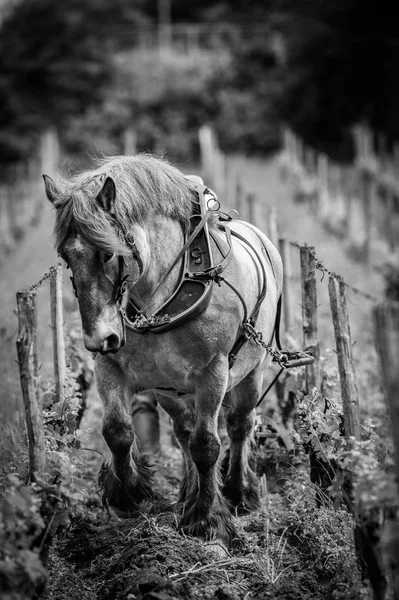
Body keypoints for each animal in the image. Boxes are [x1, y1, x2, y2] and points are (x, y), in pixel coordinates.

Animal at [44, 155, 284, 544]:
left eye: (109, 253)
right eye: (66, 256)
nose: (98, 340)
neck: (161, 295)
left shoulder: (214, 372)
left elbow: (207, 445)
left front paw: (207, 519)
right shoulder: (112, 367)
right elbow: (117, 430)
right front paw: (129, 492)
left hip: (253, 371)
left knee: (239, 425)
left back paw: (238, 491)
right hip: (170, 388)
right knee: (183, 432)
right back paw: (188, 493)